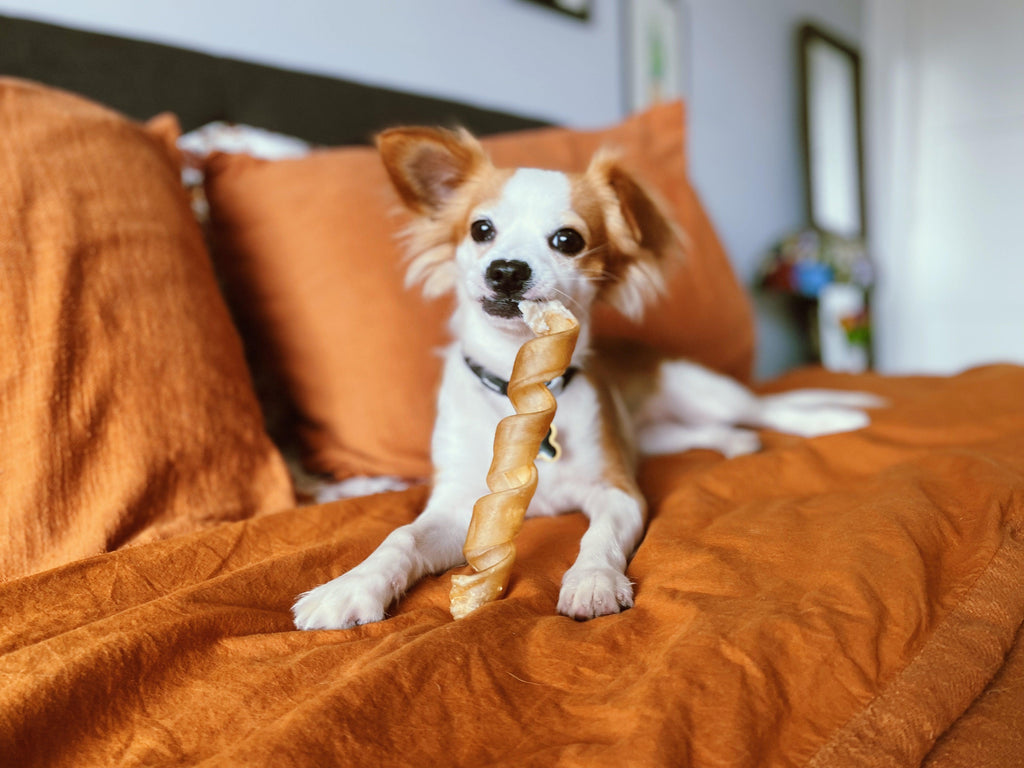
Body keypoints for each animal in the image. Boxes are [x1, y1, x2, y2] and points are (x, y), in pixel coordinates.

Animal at [290, 128, 880, 630]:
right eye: (481, 230)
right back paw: (739, 444)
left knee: (767, 408)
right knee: (709, 432)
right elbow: (402, 537)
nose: (507, 269)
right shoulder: (460, 506)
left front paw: (593, 581)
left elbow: (599, 536)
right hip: (659, 435)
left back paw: (834, 418)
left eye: (568, 240)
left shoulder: (618, 490)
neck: (522, 387)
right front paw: (350, 586)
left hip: (705, 392)